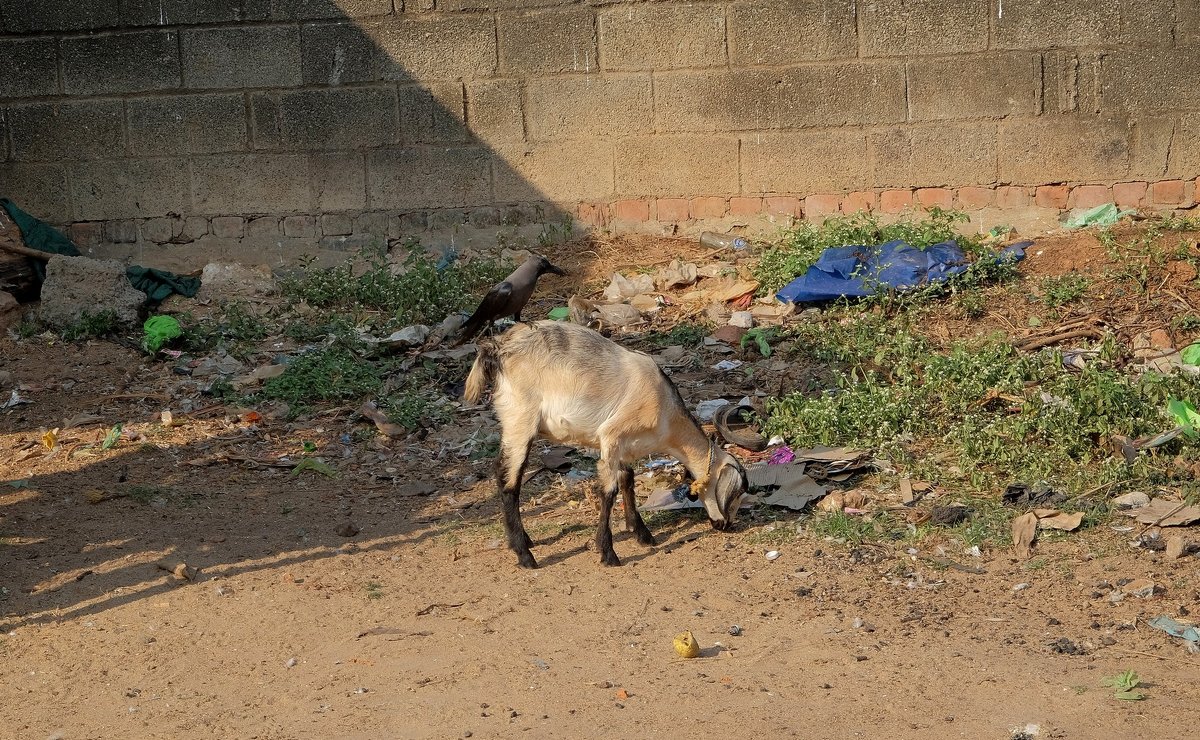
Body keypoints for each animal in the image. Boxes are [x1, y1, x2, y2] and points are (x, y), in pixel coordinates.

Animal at [460, 316, 748, 566]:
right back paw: (524, 555)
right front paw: (608, 552)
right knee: (509, 481)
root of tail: (498, 348)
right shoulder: (611, 434)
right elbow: (609, 491)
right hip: (521, 419)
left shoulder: (623, 446)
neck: (665, 413)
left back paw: (525, 542)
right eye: (736, 495)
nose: (726, 525)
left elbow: (627, 480)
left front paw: (641, 533)